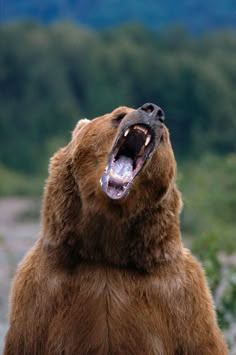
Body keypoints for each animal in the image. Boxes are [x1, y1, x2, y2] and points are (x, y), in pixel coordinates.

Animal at [4, 104, 228, 354]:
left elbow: (200, 339)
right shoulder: (41, 293)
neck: (107, 252)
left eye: (165, 137)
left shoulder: (182, 299)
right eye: (118, 114)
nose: (153, 111)